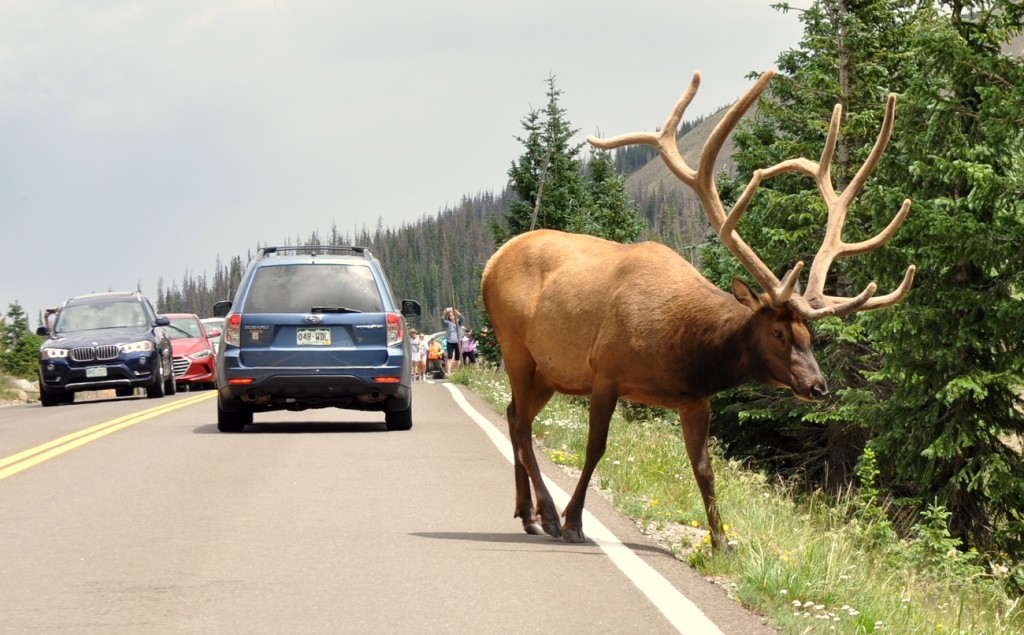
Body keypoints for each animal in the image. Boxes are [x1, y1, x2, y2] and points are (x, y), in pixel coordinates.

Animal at [483, 67, 917, 548]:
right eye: (778, 332)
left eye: (812, 335)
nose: (818, 387)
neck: (682, 351)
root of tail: (492, 261)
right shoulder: (606, 373)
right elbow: (596, 448)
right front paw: (575, 520)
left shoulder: (695, 401)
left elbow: (705, 470)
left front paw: (722, 543)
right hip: (516, 348)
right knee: (522, 425)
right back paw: (549, 515)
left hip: (551, 372)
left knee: (513, 415)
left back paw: (528, 513)